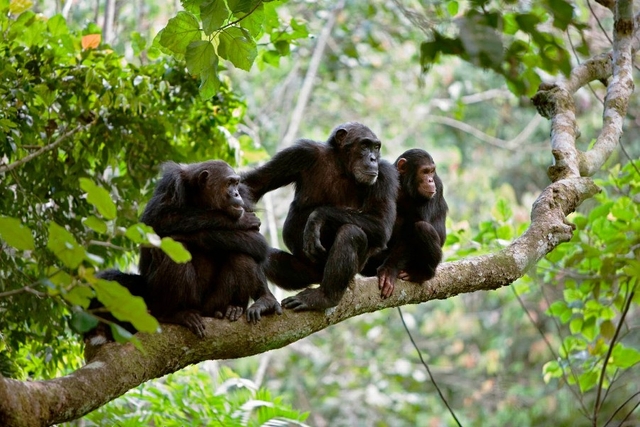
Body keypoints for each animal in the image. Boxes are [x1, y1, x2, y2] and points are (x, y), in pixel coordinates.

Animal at [89, 160, 282, 342]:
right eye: (229, 183)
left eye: (236, 183)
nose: (235, 194)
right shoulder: (170, 184)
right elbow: (155, 221)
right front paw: (238, 221)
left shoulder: (244, 197)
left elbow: (256, 241)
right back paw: (173, 314)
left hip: (213, 304)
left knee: (242, 254)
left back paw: (245, 305)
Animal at [242, 122, 398, 312]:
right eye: (364, 145)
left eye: (376, 147)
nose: (373, 159)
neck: (342, 166)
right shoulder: (300, 153)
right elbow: (254, 184)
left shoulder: (385, 174)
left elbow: (380, 223)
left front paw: (316, 218)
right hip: (304, 272)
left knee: (351, 233)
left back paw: (324, 297)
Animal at [362, 149, 448, 300]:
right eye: (425, 171)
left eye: (432, 172)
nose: (430, 180)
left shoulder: (437, 185)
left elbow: (411, 230)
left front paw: (389, 271)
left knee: (422, 228)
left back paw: (422, 274)